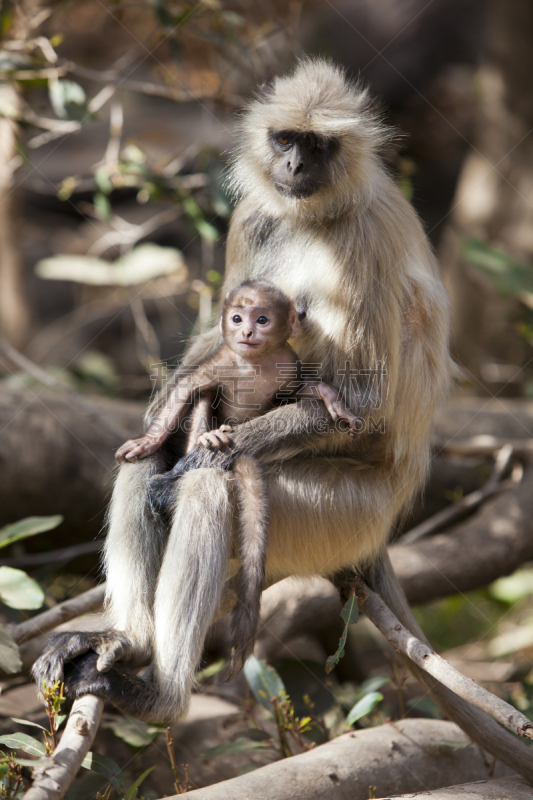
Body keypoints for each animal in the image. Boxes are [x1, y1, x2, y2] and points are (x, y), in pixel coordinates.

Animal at [116, 282, 362, 676]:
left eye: (261, 319)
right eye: (236, 317)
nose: (246, 331)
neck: (254, 363)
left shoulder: (287, 363)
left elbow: (293, 394)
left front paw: (331, 399)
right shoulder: (220, 363)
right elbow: (187, 390)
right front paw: (149, 440)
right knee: (204, 397)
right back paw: (207, 439)